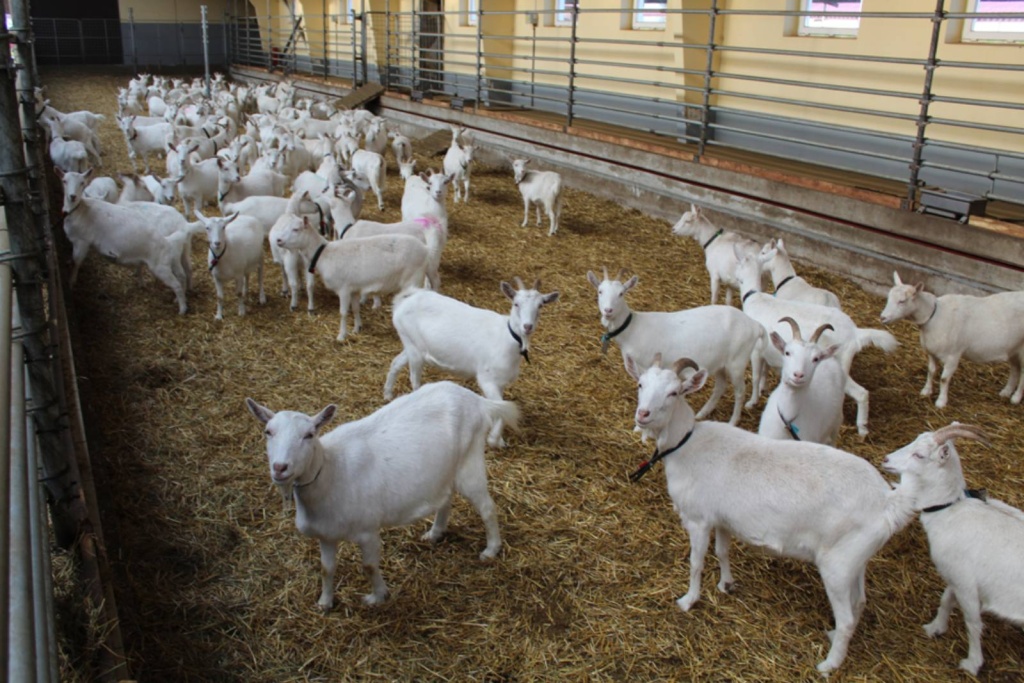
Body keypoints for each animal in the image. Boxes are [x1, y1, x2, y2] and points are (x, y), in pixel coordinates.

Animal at [245, 381, 518, 610]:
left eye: (309, 435)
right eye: (268, 431)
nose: (280, 467)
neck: (331, 471)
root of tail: (477, 400)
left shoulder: (367, 530)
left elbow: (368, 566)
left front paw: (377, 597)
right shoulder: (326, 534)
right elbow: (326, 569)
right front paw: (325, 603)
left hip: (469, 461)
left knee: (487, 507)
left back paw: (491, 550)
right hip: (445, 469)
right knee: (446, 497)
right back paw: (435, 533)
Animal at [626, 354, 915, 673]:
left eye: (674, 392)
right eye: (640, 384)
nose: (643, 414)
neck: (686, 444)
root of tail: (887, 501)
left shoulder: (698, 519)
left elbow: (696, 562)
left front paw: (688, 600)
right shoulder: (722, 519)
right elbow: (722, 551)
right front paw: (726, 585)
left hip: (837, 565)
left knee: (848, 618)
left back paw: (828, 665)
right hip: (856, 558)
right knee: (860, 601)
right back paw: (832, 635)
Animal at [879, 272, 1024, 408]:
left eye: (902, 301)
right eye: (889, 298)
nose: (882, 317)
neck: (934, 315)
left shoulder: (953, 355)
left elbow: (944, 378)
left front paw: (941, 402)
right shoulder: (932, 352)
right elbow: (931, 371)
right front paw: (926, 391)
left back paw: (1016, 398)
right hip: (1013, 348)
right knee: (1015, 369)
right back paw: (1006, 392)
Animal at [881, 423, 1024, 676]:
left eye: (920, 455)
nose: (886, 459)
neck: (949, 510)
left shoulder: (966, 583)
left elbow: (973, 623)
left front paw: (972, 663)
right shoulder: (954, 573)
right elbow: (946, 599)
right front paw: (935, 627)